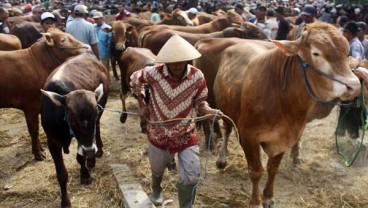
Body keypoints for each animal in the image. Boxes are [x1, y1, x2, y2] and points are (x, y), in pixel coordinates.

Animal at [0, 27, 90, 161]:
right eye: (62, 40)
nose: (88, 47)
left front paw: (40, 149)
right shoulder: (31, 106)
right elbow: (34, 130)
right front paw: (38, 154)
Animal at [41, 52, 109, 207]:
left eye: (94, 114)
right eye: (72, 119)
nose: (90, 150)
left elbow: (80, 158)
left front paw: (85, 175)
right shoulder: (52, 141)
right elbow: (61, 174)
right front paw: (65, 201)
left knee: (98, 130)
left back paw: (95, 154)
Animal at [211, 22, 360, 206]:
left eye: (347, 51)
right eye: (316, 53)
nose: (354, 86)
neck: (281, 98)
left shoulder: (285, 136)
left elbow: (272, 169)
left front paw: (268, 197)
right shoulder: (247, 135)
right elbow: (255, 171)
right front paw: (255, 201)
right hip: (225, 108)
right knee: (227, 129)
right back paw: (222, 158)